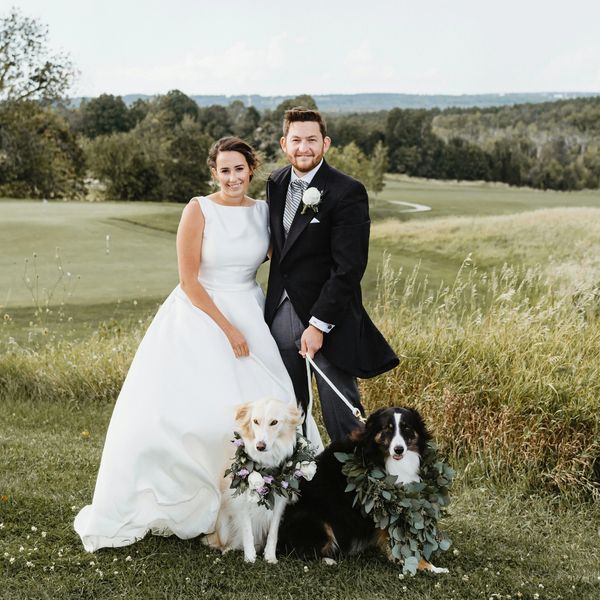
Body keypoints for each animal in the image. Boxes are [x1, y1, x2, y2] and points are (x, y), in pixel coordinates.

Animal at [205, 398, 302, 564]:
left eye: (274, 422)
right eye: (255, 421)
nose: (260, 446)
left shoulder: (279, 502)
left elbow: (273, 533)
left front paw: (270, 557)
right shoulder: (242, 500)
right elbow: (246, 530)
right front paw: (250, 558)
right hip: (223, 526)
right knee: (227, 542)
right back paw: (228, 550)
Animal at [276, 408, 446, 572]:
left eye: (406, 427)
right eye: (387, 428)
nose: (399, 450)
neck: (380, 457)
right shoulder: (387, 507)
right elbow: (402, 543)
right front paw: (428, 567)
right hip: (316, 521)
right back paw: (328, 560)